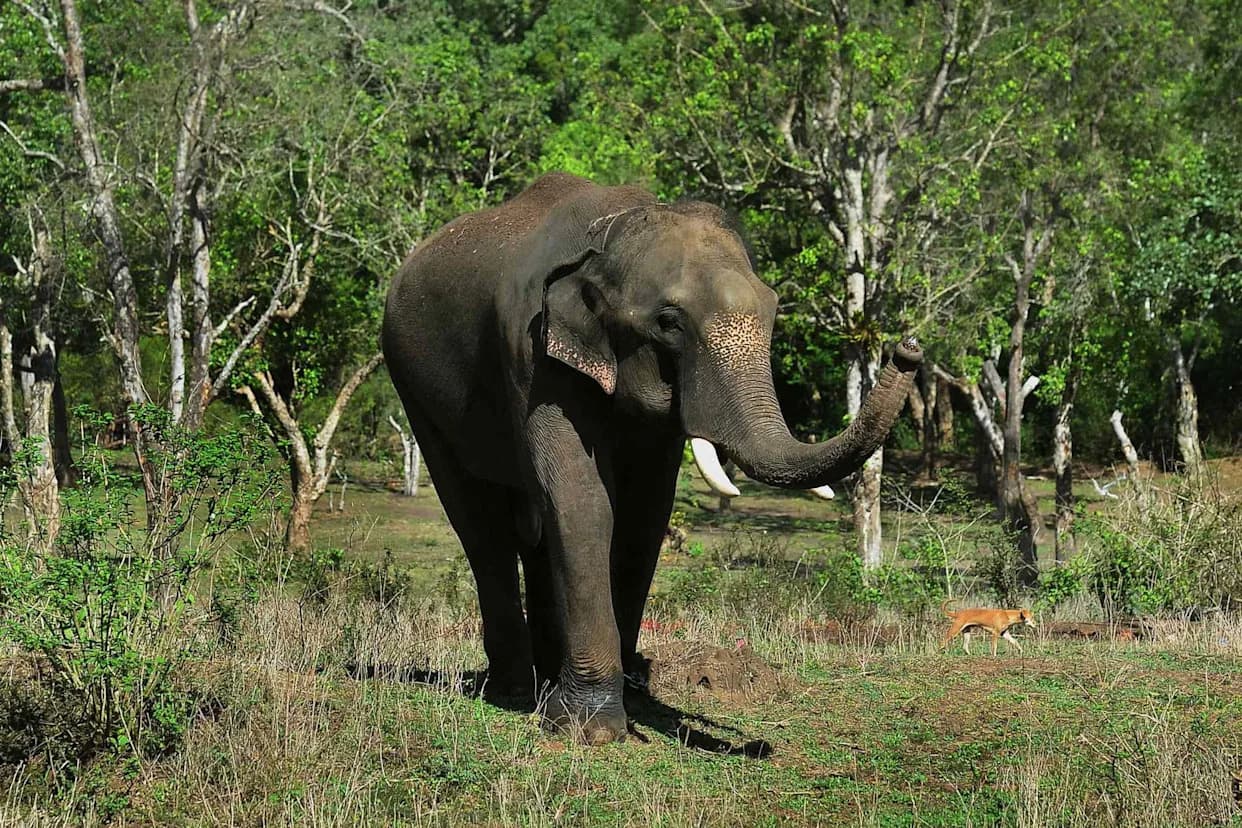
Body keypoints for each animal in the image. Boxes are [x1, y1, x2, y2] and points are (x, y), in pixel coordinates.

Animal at [382, 172, 922, 744]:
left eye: (774, 311)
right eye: (668, 322)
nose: (908, 348)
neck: (608, 237)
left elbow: (645, 513)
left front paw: (621, 703)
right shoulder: (530, 352)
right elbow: (582, 498)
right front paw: (590, 729)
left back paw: (545, 682)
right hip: (415, 389)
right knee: (480, 523)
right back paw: (514, 690)